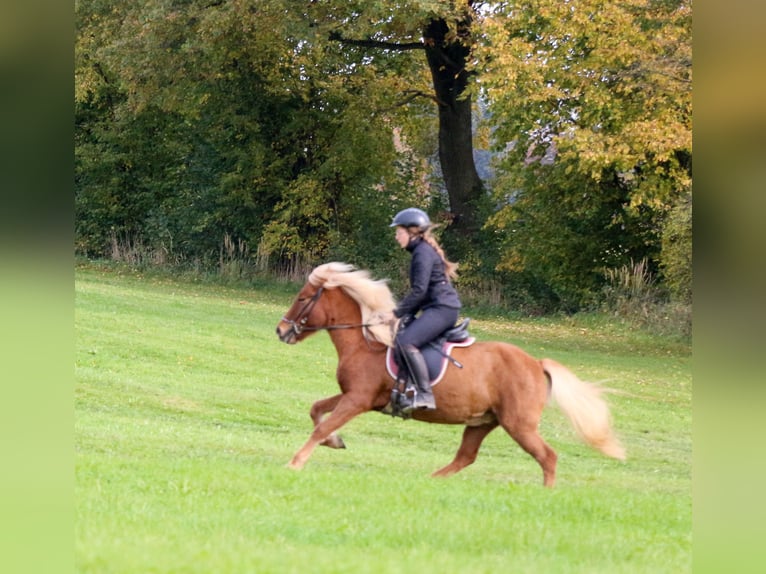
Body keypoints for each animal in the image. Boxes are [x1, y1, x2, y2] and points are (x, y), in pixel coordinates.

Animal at [275, 262, 625, 487]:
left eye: (302, 298)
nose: (280, 330)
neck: (365, 344)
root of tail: (536, 364)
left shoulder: (358, 399)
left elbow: (322, 425)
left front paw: (295, 462)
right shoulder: (357, 396)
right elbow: (317, 410)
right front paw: (334, 442)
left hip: (518, 424)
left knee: (547, 457)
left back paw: (545, 495)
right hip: (483, 421)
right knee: (465, 457)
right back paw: (430, 481)